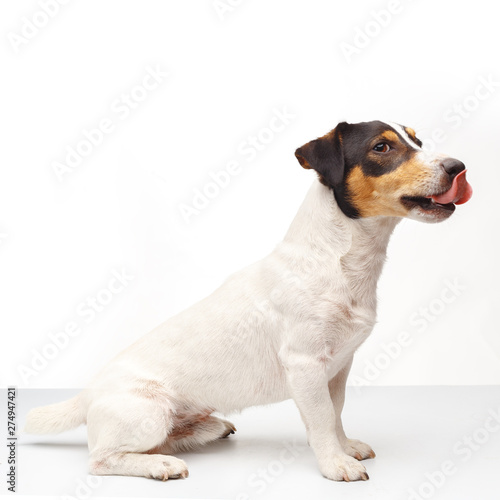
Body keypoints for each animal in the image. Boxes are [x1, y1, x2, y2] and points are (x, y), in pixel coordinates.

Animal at [24, 120, 472, 480]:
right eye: (382, 147)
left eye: (417, 140)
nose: (458, 167)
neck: (339, 261)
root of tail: (87, 395)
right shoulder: (306, 365)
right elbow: (322, 420)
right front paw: (335, 464)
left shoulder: (339, 368)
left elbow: (336, 413)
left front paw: (345, 447)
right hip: (148, 413)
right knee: (101, 459)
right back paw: (158, 466)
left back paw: (204, 431)